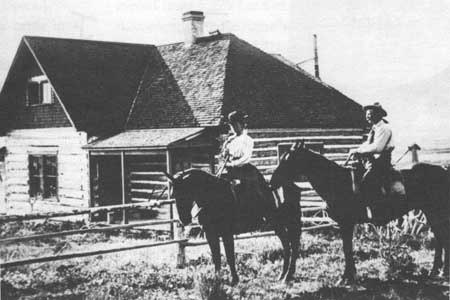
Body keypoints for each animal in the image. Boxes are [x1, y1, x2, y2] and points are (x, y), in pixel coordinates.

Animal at [165, 168, 302, 284]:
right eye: (174, 195)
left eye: (184, 193)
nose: (184, 220)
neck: (213, 196)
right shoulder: (211, 235)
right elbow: (216, 257)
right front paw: (218, 278)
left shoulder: (227, 234)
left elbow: (229, 256)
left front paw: (235, 279)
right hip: (278, 225)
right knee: (287, 245)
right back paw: (282, 275)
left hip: (291, 223)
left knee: (294, 246)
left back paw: (288, 275)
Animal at [268, 141, 448, 284]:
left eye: (288, 160)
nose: (271, 183)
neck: (338, 182)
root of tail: (444, 170)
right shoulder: (346, 224)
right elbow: (347, 248)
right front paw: (350, 275)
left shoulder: (346, 223)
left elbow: (347, 249)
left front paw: (345, 277)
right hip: (430, 212)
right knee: (439, 238)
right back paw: (435, 271)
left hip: (435, 211)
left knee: (442, 238)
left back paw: (442, 272)